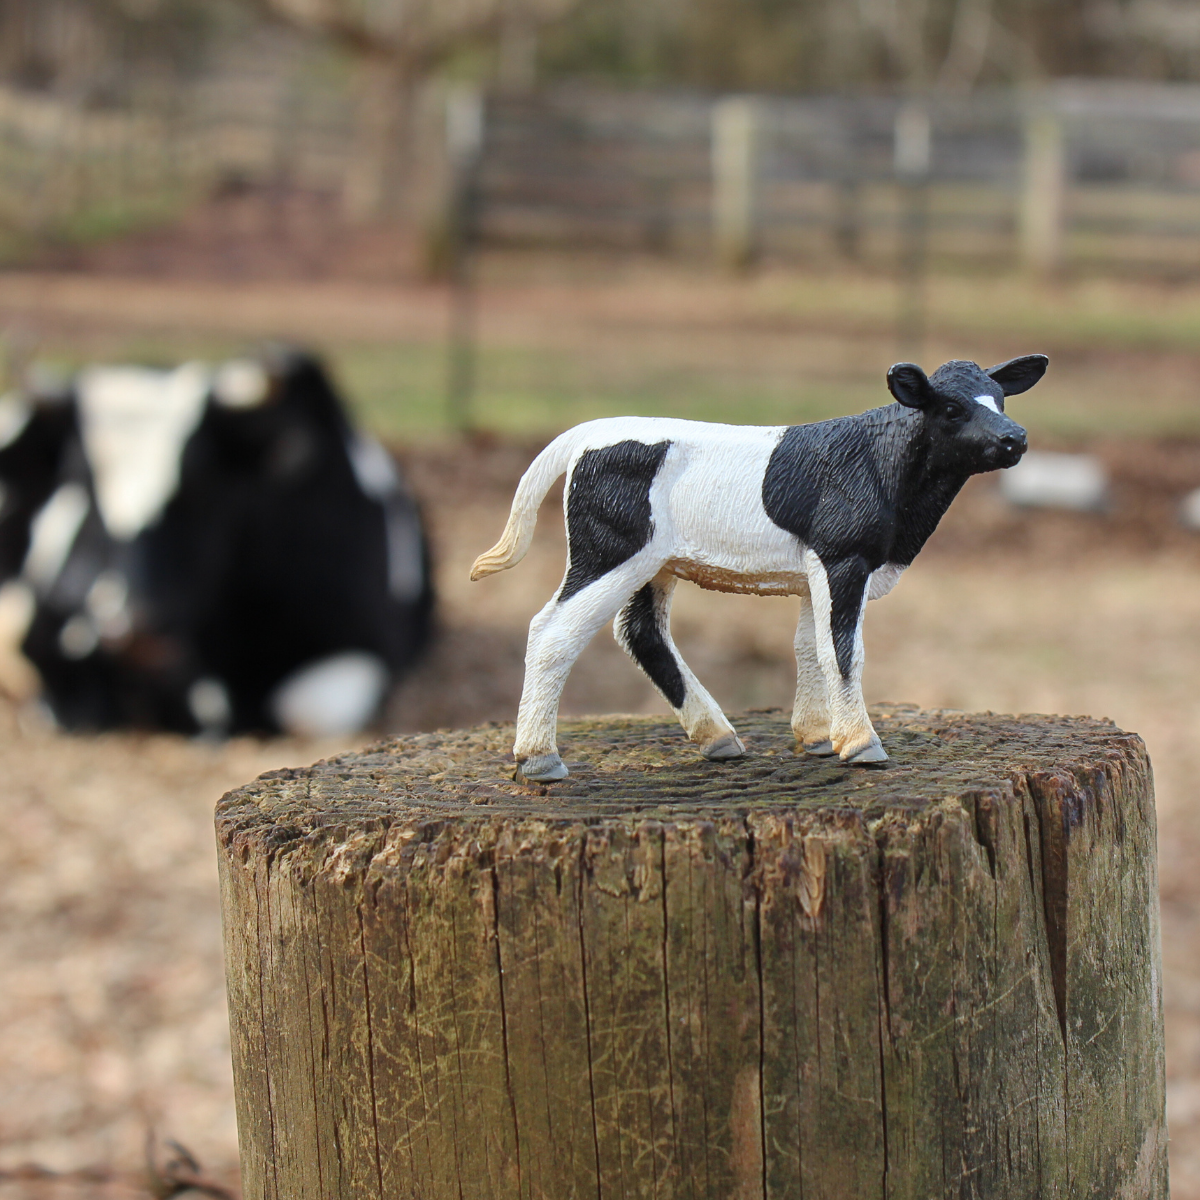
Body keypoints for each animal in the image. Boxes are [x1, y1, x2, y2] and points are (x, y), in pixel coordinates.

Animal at [472, 352, 1046, 787]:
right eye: (950, 408)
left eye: (1000, 399)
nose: (1016, 437)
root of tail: (591, 431)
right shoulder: (843, 556)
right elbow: (842, 650)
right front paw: (861, 743)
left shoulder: (816, 570)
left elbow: (809, 647)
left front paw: (817, 736)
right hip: (610, 552)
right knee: (553, 632)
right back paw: (538, 759)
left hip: (654, 563)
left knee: (640, 632)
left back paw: (718, 737)